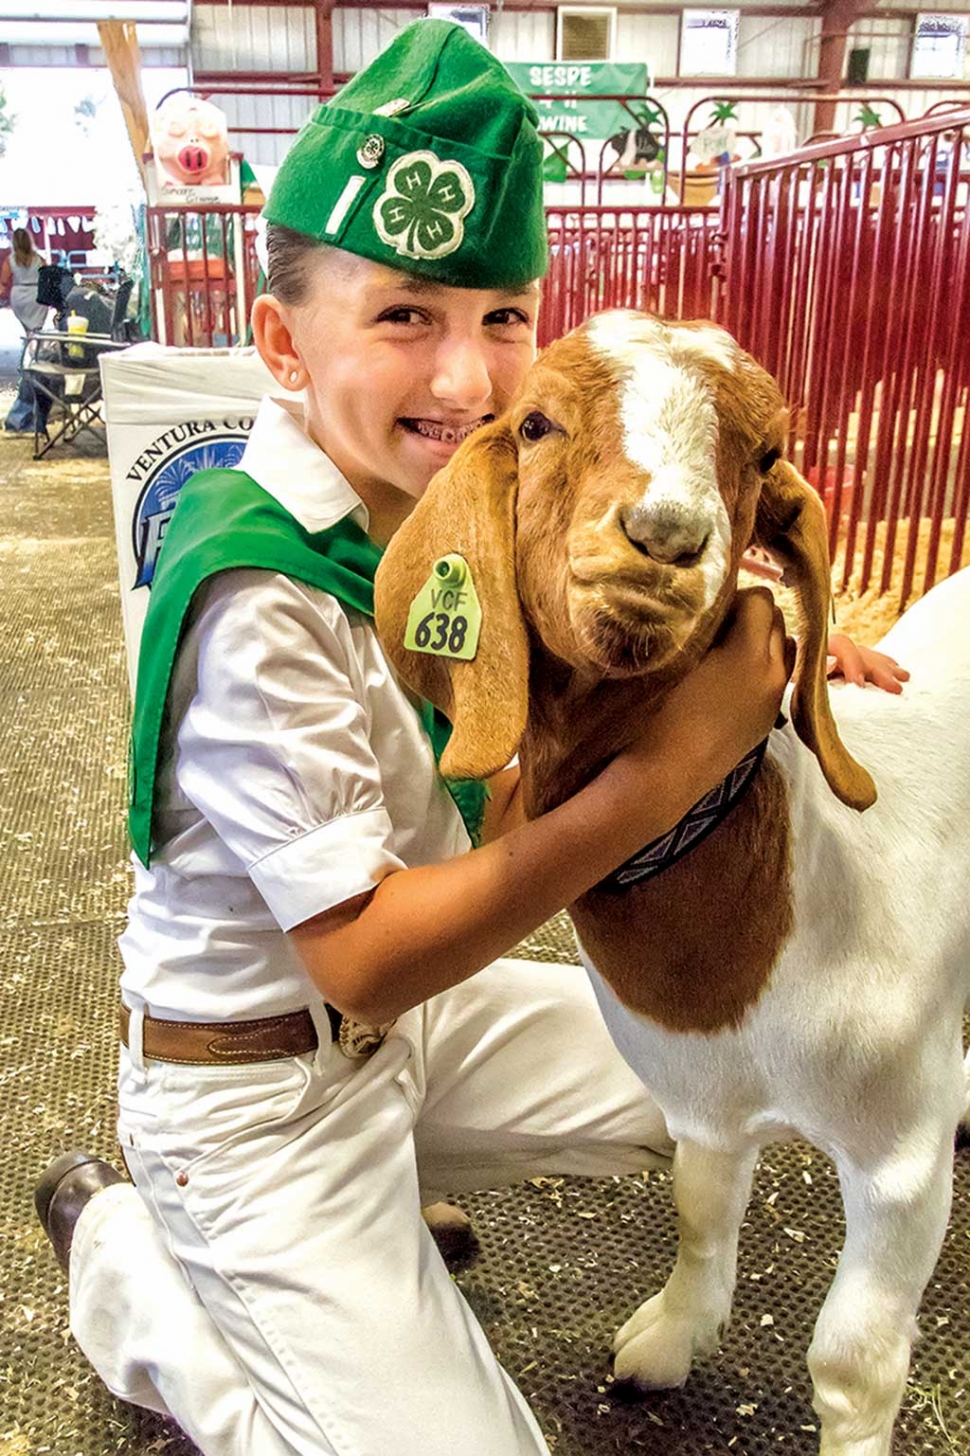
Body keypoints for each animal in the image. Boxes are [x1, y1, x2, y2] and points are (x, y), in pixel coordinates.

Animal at [371, 310, 967, 1456]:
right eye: (536, 423)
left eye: (767, 455)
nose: (664, 536)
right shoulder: (696, 1103)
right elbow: (700, 1210)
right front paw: (668, 1341)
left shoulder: (898, 1158)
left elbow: (851, 1358)